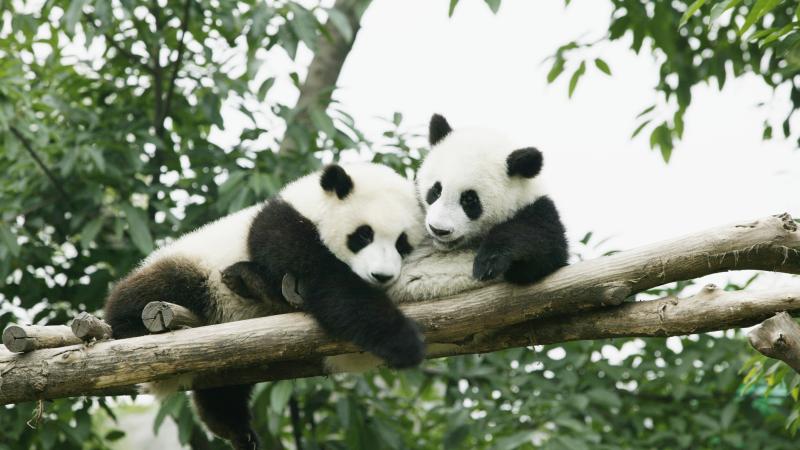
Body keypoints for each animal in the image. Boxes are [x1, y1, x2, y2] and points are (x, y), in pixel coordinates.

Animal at [103, 163, 426, 450]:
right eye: (363, 235)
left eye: (402, 243)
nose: (381, 276)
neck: (311, 206)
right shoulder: (282, 228)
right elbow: (329, 282)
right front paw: (404, 342)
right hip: (194, 270)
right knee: (154, 289)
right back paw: (130, 326)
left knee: (224, 390)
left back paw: (235, 428)